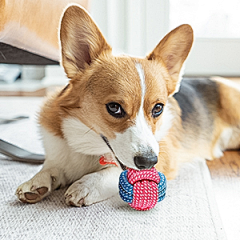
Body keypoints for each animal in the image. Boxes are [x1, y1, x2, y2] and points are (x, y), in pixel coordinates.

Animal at [15, 4, 240, 206]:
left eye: (158, 108)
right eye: (114, 107)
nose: (148, 162)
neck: (87, 144)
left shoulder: (164, 155)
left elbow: (113, 172)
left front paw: (87, 185)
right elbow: (51, 168)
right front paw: (37, 181)